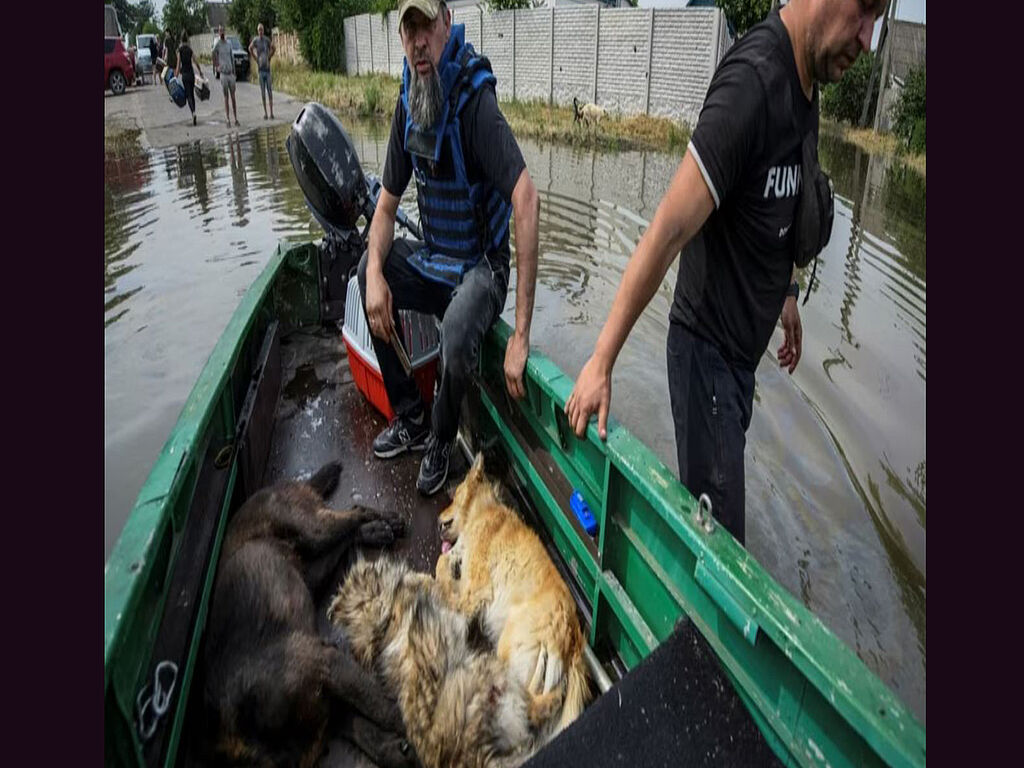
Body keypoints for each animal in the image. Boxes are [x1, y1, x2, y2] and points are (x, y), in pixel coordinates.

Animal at [200, 460, 415, 765]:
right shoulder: (329, 707)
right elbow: (366, 729)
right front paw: (396, 751)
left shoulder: (323, 662)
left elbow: (379, 707)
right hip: (311, 571)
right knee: (344, 536)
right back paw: (377, 530)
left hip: (312, 529)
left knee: (353, 513)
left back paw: (384, 520)